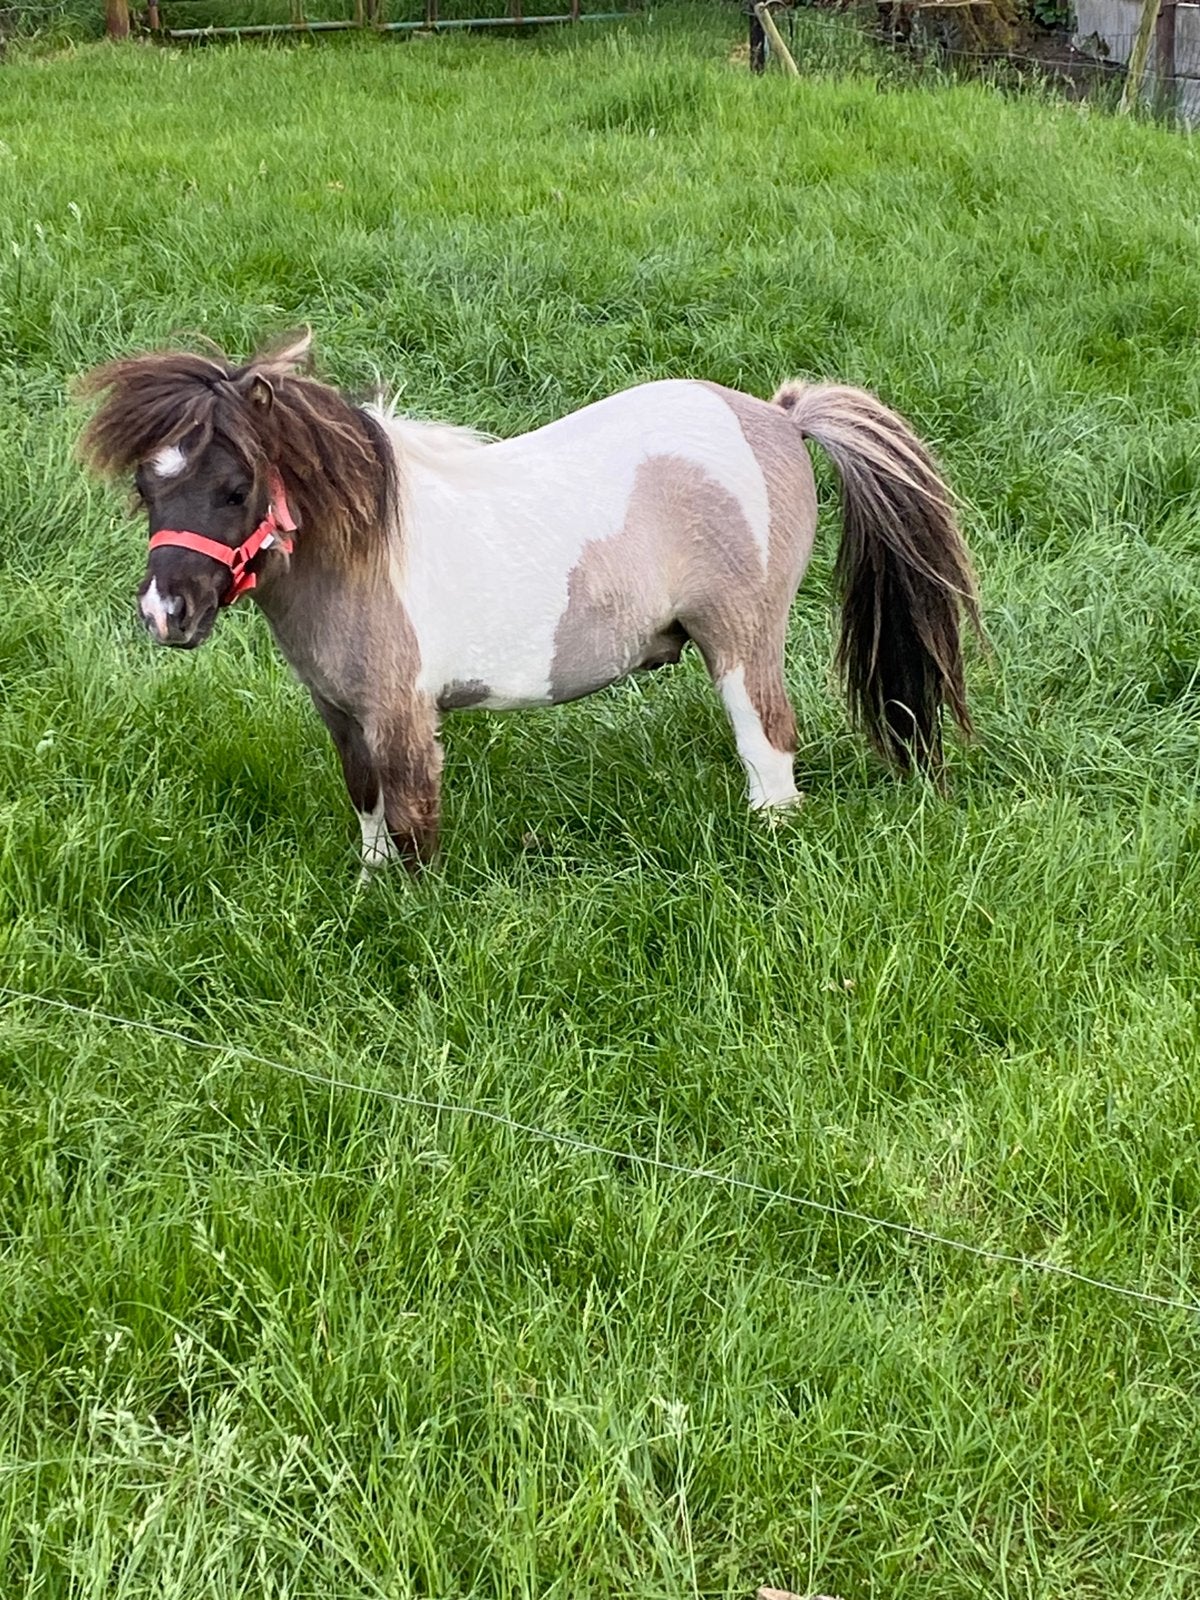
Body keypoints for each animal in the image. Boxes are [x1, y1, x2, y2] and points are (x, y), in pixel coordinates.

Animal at [77, 332, 979, 874]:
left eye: (235, 489)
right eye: (146, 487)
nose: (166, 613)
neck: (367, 548)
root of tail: (782, 419)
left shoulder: (403, 716)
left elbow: (412, 820)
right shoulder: (342, 713)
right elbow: (367, 807)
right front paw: (368, 888)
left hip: (743, 642)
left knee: (770, 748)